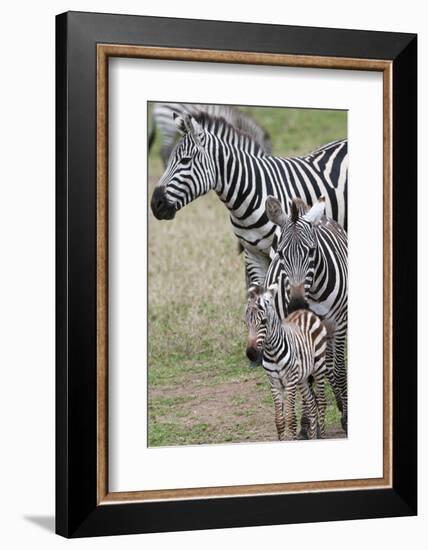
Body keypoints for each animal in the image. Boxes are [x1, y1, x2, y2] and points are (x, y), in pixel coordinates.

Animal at [244, 286, 328, 442]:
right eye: (245, 322)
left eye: (264, 321)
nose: (251, 354)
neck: (272, 352)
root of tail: (303, 311)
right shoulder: (274, 383)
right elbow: (279, 420)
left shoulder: (290, 382)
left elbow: (291, 419)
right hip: (302, 377)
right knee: (312, 405)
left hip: (318, 367)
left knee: (321, 402)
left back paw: (323, 437)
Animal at [264, 196, 348, 434]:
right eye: (281, 254)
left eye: (311, 252)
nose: (297, 304)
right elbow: (306, 374)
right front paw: (305, 424)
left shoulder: (340, 325)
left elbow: (339, 370)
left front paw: (346, 418)